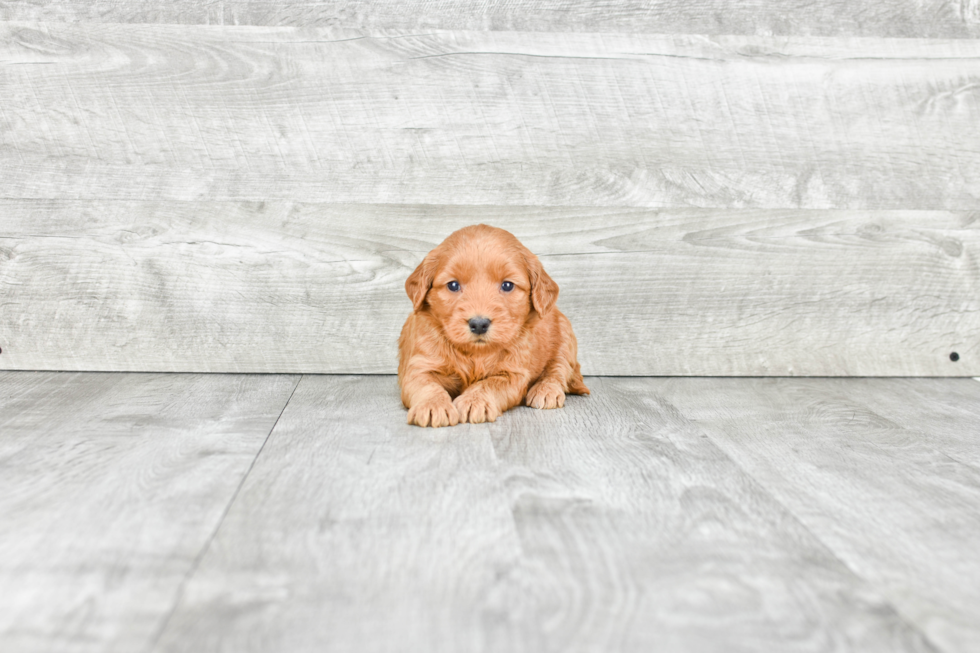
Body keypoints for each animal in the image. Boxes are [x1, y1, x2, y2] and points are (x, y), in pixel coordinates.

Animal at [398, 224, 588, 428]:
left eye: (507, 285)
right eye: (453, 285)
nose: (479, 324)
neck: (476, 354)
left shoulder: (513, 374)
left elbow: (488, 384)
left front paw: (474, 401)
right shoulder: (419, 365)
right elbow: (426, 385)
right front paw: (433, 405)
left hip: (565, 335)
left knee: (559, 369)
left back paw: (546, 390)